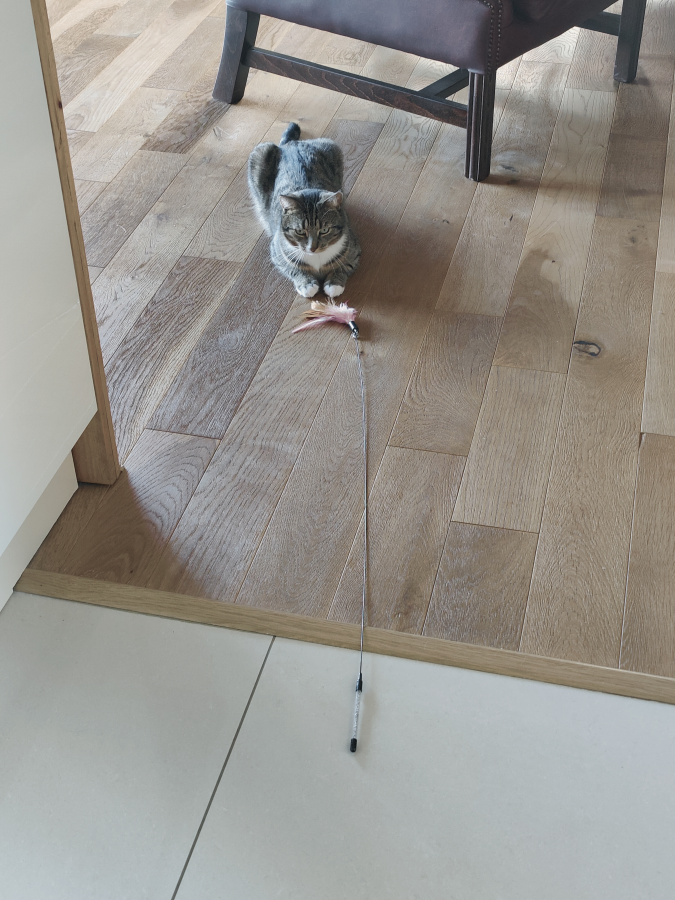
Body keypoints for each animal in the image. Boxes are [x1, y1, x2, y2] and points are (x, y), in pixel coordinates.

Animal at [247, 122, 360, 299]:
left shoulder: (353, 249)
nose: (312, 248)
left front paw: (334, 284)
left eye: (325, 230)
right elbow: (292, 268)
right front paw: (307, 284)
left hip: (331, 146)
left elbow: (344, 266)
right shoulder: (277, 252)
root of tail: (291, 144)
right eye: (300, 231)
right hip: (260, 153)